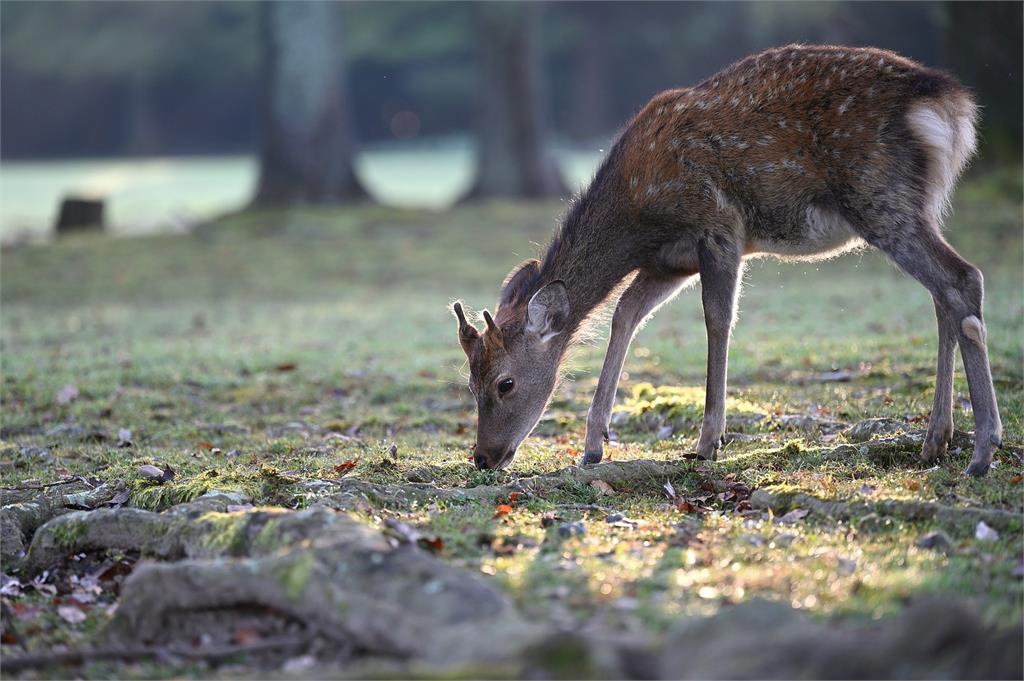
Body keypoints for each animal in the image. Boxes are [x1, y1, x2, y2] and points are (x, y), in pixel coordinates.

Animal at [452, 45, 1003, 475]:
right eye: (470, 381)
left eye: (505, 383)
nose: (483, 457)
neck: (637, 213)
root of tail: (951, 104)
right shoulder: (668, 261)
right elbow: (625, 315)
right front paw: (593, 445)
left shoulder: (718, 226)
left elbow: (717, 319)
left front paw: (707, 442)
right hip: (922, 203)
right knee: (942, 295)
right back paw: (936, 440)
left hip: (879, 195)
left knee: (962, 278)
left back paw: (982, 448)